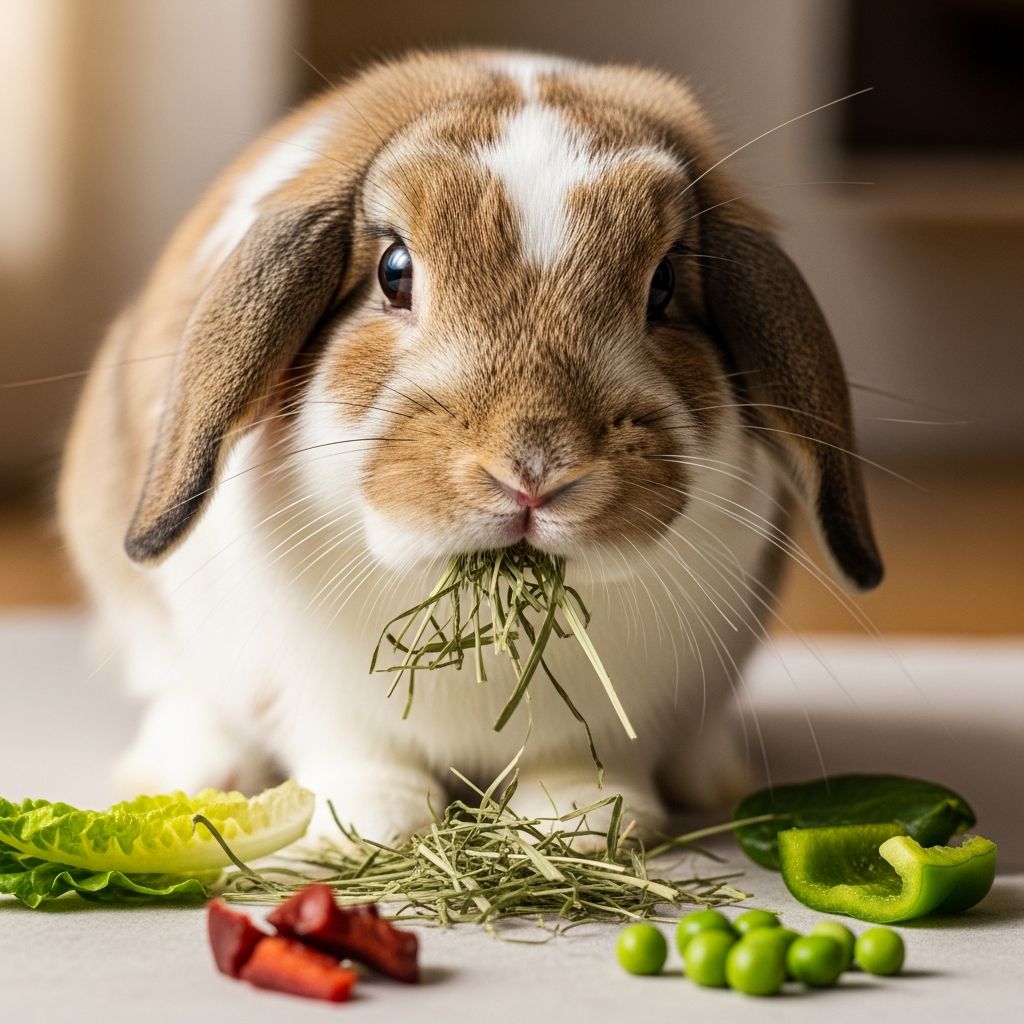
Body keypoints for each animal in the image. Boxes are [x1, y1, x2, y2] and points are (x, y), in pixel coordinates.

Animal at [59, 49, 882, 845]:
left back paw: (711, 776)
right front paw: (374, 824)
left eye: (665, 284)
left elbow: (586, 762)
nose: (533, 471)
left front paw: (577, 823)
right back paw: (197, 766)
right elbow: (350, 746)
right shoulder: (311, 689)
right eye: (394, 271)